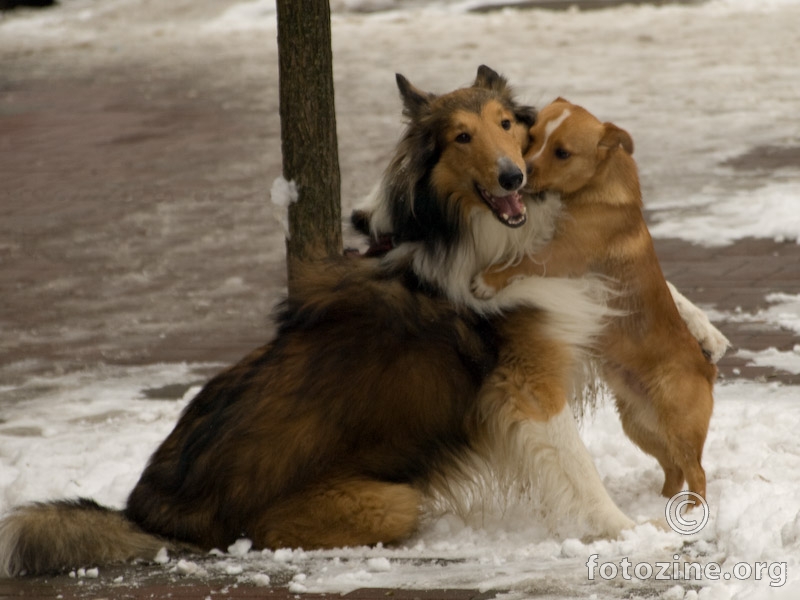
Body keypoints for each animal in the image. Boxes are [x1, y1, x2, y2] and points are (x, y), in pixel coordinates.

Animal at [472, 99, 720, 502]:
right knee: (674, 469)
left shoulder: (557, 255)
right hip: (640, 426)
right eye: (532, 137)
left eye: (562, 153)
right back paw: (661, 502)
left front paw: (486, 280)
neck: (594, 188)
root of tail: (707, 369)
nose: (522, 174)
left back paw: (688, 511)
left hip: (679, 426)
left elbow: (520, 262)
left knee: (696, 473)